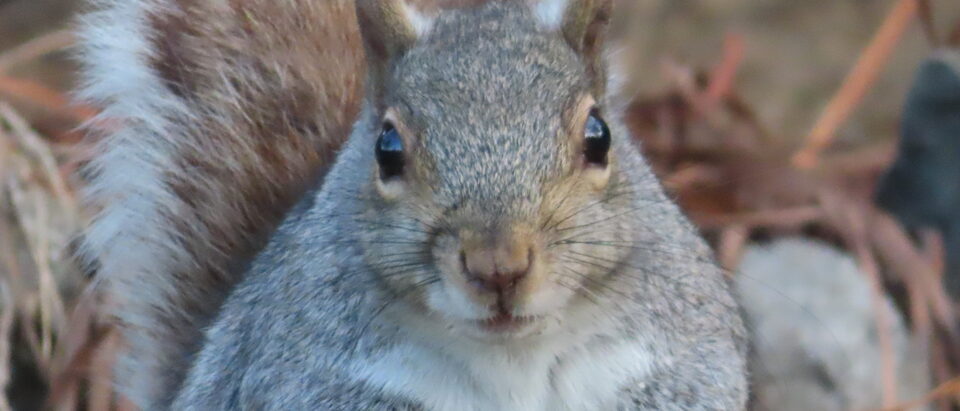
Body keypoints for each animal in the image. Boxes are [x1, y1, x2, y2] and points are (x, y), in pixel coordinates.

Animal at [76, 0, 748, 409]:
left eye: (599, 136)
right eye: (387, 148)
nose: (498, 266)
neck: (512, 356)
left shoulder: (677, 359)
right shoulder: (311, 376)